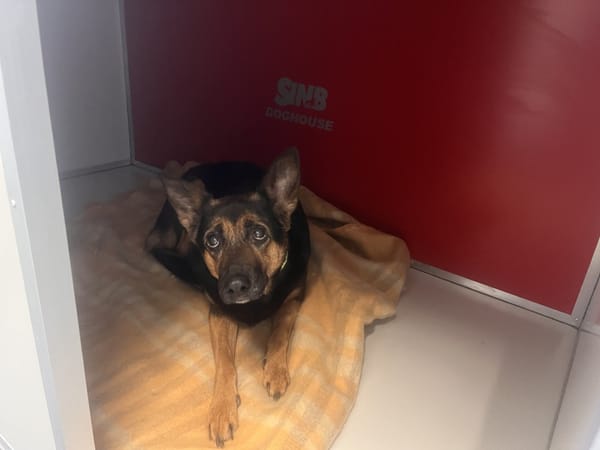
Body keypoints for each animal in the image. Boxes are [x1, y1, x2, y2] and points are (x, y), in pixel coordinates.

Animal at [145, 148, 310, 447]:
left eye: (259, 234)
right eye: (213, 241)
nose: (234, 287)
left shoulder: (294, 298)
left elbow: (281, 329)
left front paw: (275, 368)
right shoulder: (220, 314)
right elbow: (224, 363)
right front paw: (222, 408)